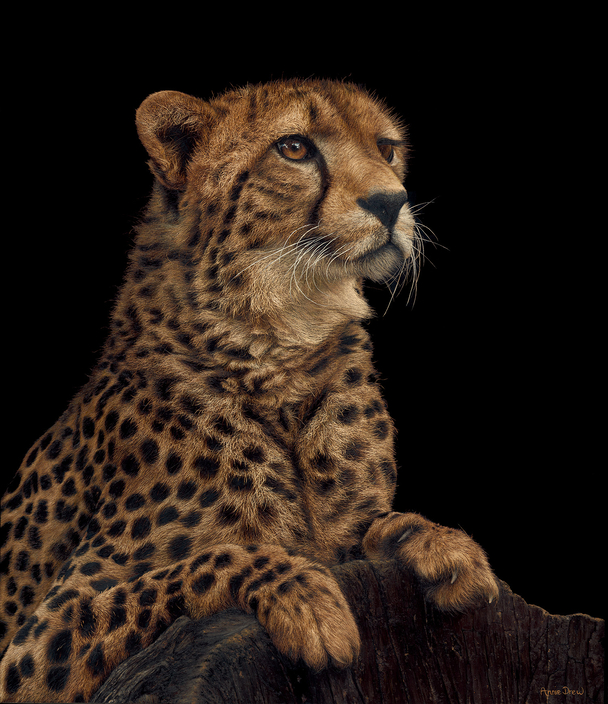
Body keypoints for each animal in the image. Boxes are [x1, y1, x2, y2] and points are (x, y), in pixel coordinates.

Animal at [0, 78, 499, 702]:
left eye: (386, 149)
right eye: (294, 148)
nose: (392, 203)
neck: (280, 343)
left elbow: (368, 530)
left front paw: (440, 544)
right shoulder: (32, 647)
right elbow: (203, 562)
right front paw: (304, 597)